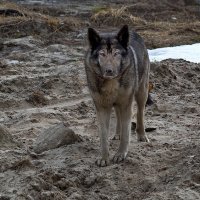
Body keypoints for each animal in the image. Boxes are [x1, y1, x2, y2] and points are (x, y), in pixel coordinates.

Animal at [84, 24, 150, 166]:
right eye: (102, 54)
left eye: (116, 53)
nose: (109, 70)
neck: (111, 84)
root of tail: (133, 32)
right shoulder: (102, 108)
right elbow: (103, 136)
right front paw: (104, 158)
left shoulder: (126, 104)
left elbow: (126, 134)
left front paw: (121, 154)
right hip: (117, 103)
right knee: (118, 114)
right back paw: (117, 134)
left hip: (141, 92)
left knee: (140, 113)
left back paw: (142, 135)